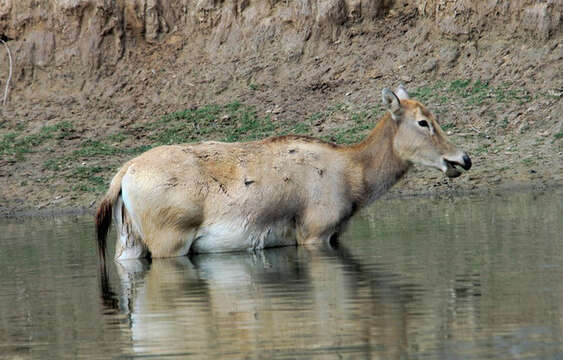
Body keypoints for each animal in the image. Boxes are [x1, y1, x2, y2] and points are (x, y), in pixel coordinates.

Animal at [96, 86, 472, 262]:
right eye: (423, 122)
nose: (463, 159)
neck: (353, 176)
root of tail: (123, 175)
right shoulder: (315, 231)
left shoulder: (334, 235)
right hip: (168, 240)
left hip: (129, 242)